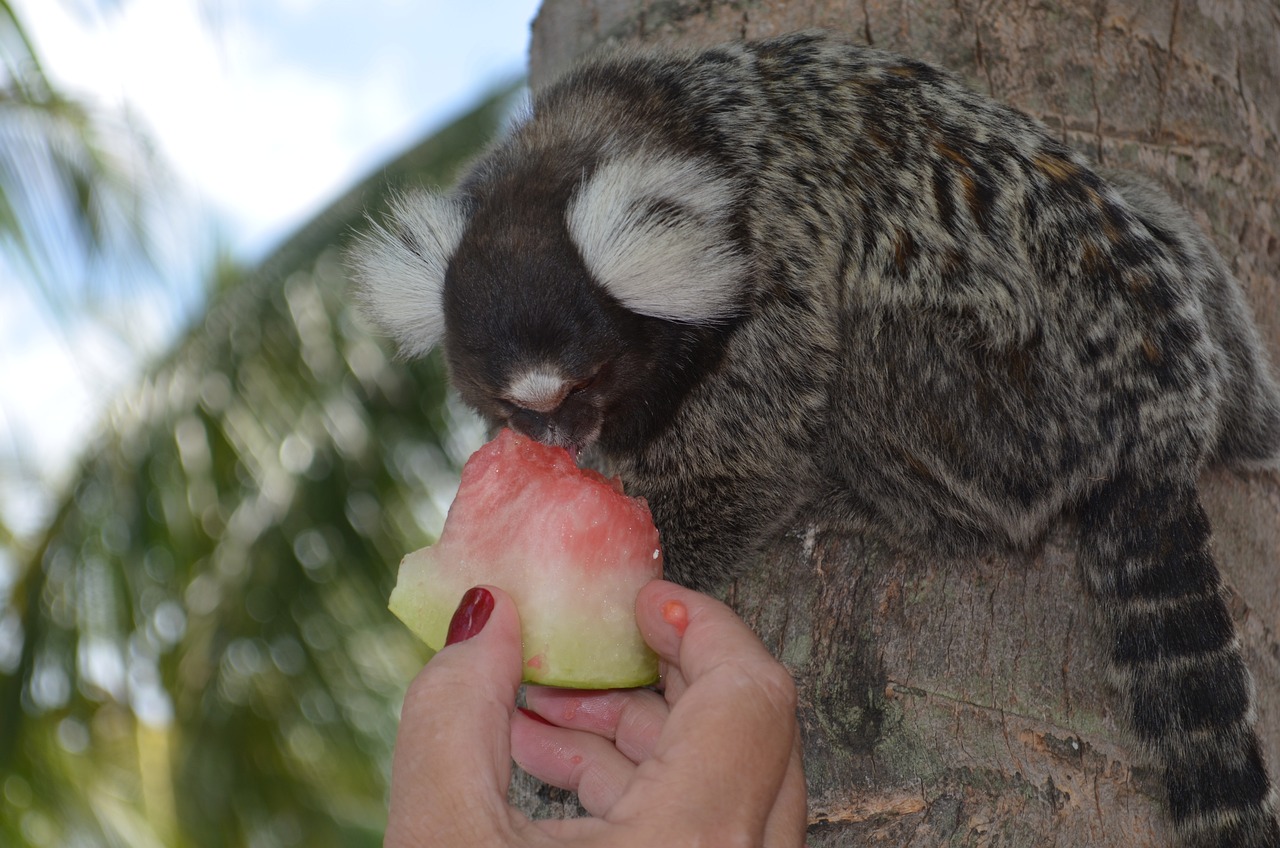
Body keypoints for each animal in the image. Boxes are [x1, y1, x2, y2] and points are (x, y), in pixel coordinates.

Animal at [347, 30, 1280, 847]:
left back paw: (886, 510)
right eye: (514, 405)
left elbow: (759, 440)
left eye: (584, 383)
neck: (655, 135)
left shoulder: (768, 260)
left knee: (882, 345)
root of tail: (1162, 417)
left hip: (1016, 395)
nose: (561, 435)